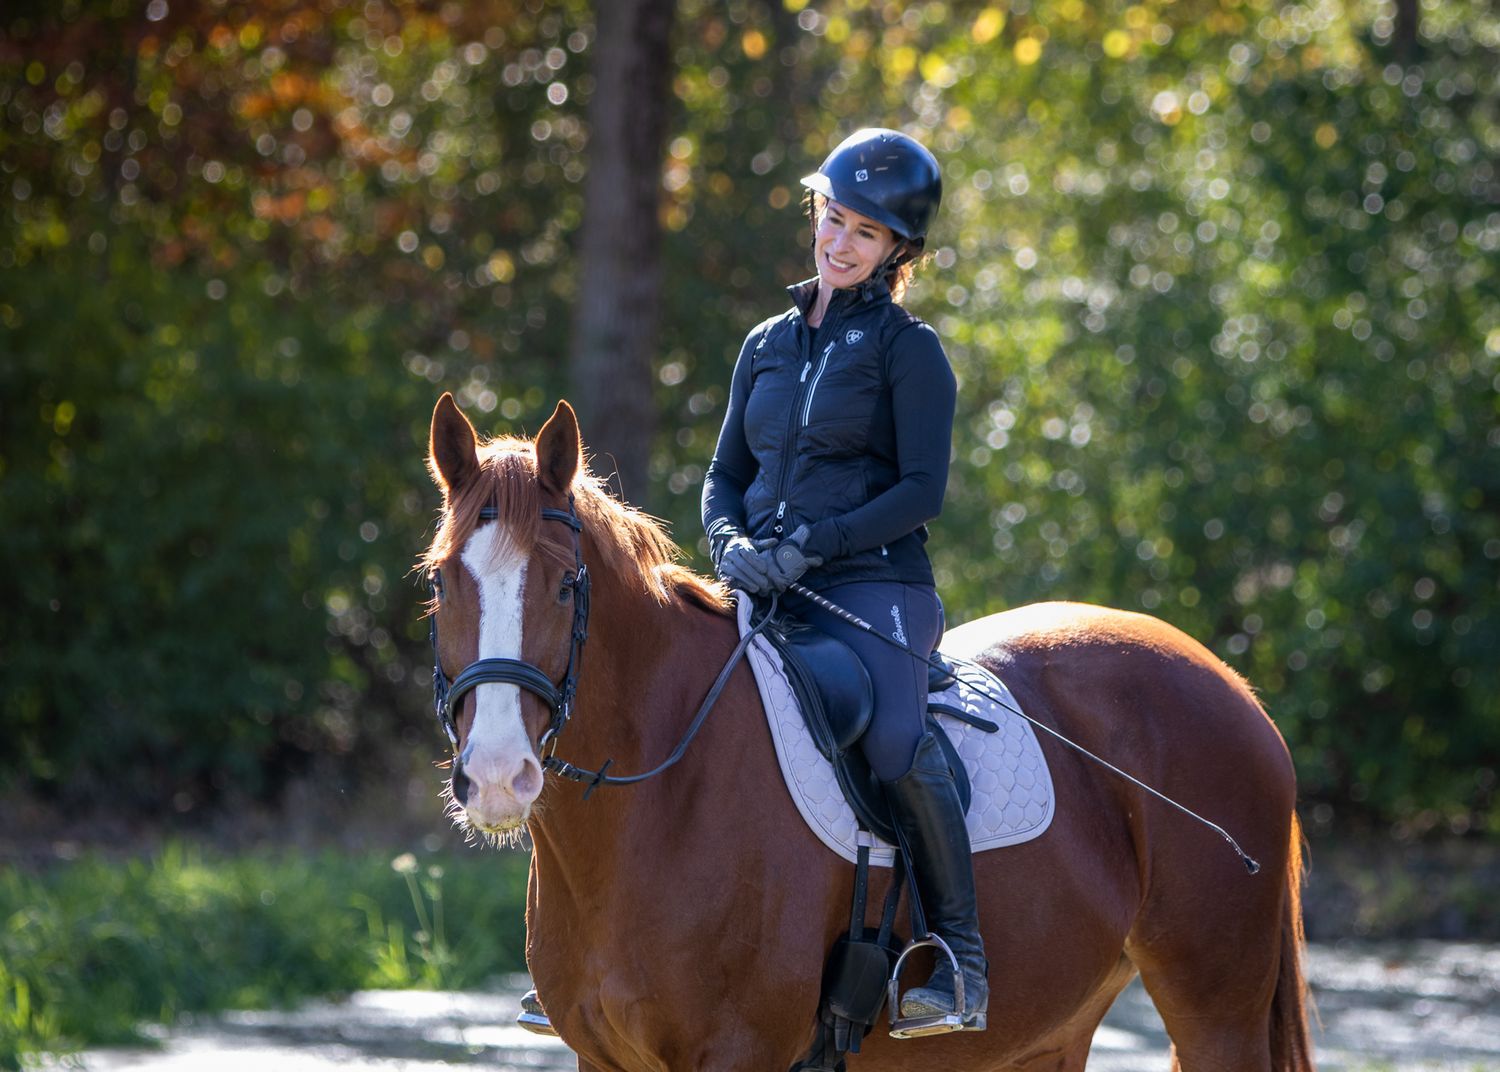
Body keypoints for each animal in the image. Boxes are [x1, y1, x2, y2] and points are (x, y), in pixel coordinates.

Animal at [419, 391, 1314, 1072]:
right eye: (441, 582)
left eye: (566, 586)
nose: (497, 777)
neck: (658, 803)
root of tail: (1230, 684)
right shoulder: (602, 1059)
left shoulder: (737, 1053)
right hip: (1048, 1034)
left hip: (1216, 1014)